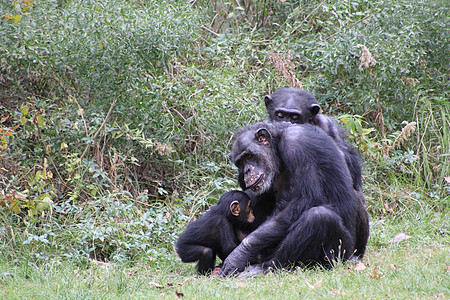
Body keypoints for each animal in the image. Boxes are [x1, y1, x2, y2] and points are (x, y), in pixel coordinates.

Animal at [219, 120, 370, 276]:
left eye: (249, 156)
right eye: (240, 163)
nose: (247, 171)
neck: (278, 146)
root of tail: (353, 256)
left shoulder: (297, 145)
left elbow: (304, 199)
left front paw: (239, 254)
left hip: (341, 254)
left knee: (319, 217)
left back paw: (264, 267)